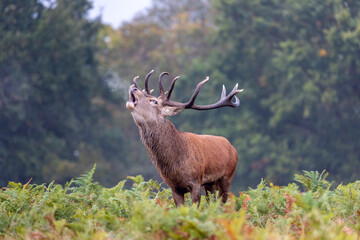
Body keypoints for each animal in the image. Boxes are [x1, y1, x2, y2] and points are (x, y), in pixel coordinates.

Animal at [125, 70, 243, 206]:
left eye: (154, 101)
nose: (133, 88)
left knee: (222, 203)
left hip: (227, 176)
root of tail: (233, 148)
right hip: (210, 184)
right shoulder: (174, 186)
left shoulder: (196, 181)